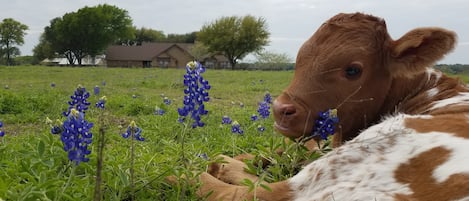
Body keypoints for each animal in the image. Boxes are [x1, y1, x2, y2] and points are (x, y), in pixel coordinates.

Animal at [197, 12, 468, 201]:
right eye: (301, 56)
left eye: (353, 70)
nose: (280, 110)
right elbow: (287, 149)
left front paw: (227, 160)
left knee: (246, 192)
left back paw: (205, 166)